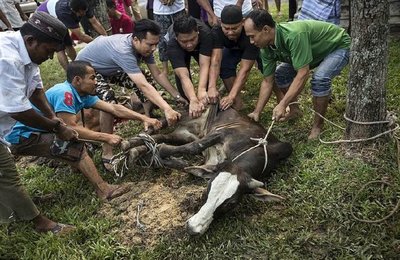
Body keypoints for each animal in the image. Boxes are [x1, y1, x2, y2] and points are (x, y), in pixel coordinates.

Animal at [120, 104, 292, 236]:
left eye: (231, 204)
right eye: (207, 189)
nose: (192, 229)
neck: (255, 150)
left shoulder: (210, 162)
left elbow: (183, 163)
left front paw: (151, 157)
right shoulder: (219, 133)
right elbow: (193, 147)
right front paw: (148, 154)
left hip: (184, 134)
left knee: (162, 137)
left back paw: (137, 148)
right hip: (180, 116)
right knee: (156, 127)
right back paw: (130, 143)